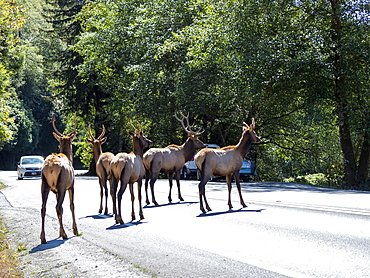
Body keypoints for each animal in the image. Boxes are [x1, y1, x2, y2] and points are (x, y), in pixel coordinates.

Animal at [40, 116, 78, 244]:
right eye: (72, 143)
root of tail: (51, 166)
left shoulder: (55, 191)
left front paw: (59, 232)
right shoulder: (71, 185)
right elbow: (72, 205)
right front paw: (75, 230)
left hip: (44, 184)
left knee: (43, 207)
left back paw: (43, 237)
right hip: (62, 185)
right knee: (58, 207)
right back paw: (65, 234)